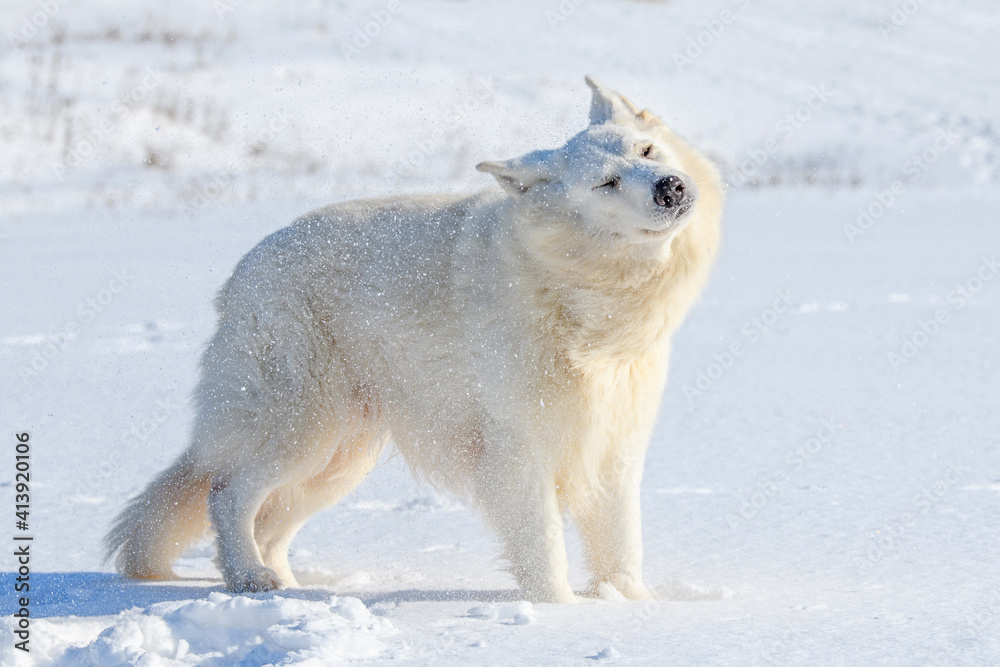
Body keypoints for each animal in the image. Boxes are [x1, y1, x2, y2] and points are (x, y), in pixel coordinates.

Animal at [105, 75, 724, 604]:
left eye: (646, 152)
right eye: (607, 183)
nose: (670, 188)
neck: (572, 289)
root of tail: (243, 270)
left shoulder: (612, 445)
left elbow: (622, 547)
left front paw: (630, 605)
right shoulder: (518, 450)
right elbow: (543, 550)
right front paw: (559, 613)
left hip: (335, 460)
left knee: (269, 522)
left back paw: (288, 587)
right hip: (298, 431)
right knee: (226, 492)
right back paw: (249, 580)